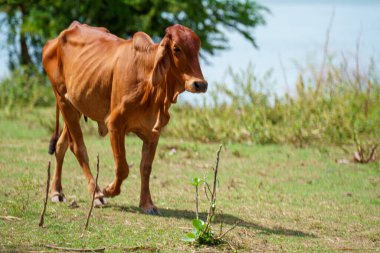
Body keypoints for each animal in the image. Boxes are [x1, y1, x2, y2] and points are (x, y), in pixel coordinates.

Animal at [43, 21, 208, 213]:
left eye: (197, 48)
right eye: (176, 48)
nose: (200, 84)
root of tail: (56, 39)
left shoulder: (153, 133)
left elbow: (145, 167)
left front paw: (147, 204)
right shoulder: (115, 124)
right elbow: (122, 168)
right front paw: (108, 190)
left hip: (75, 106)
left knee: (61, 145)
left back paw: (56, 192)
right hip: (63, 100)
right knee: (78, 148)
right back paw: (96, 194)